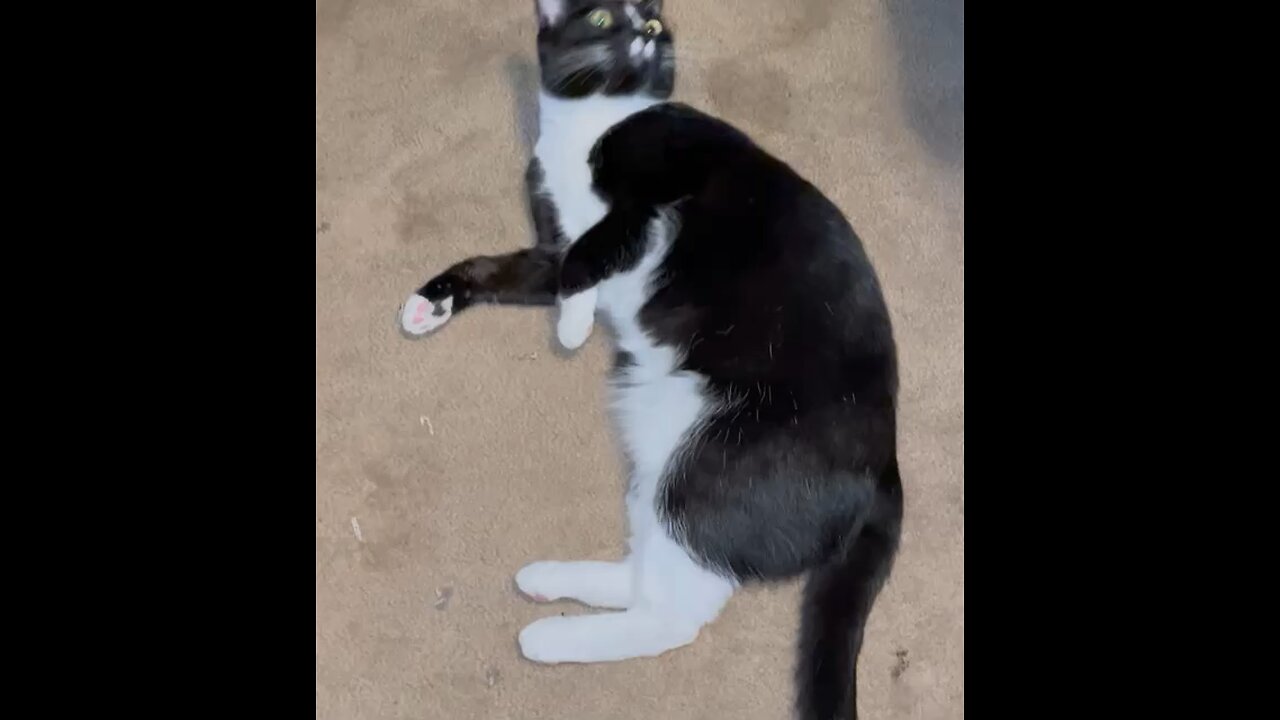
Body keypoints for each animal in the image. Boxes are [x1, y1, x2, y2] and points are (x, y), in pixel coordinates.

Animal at [399, 2, 901, 712]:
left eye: (656, 24)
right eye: (601, 17)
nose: (644, 30)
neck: (592, 123)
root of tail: (886, 466)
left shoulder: (654, 199)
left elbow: (594, 251)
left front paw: (572, 325)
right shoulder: (550, 243)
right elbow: (507, 267)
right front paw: (431, 302)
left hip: (709, 469)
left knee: (674, 615)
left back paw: (547, 636)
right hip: (665, 455)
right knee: (646, 579)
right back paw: (547, 581)